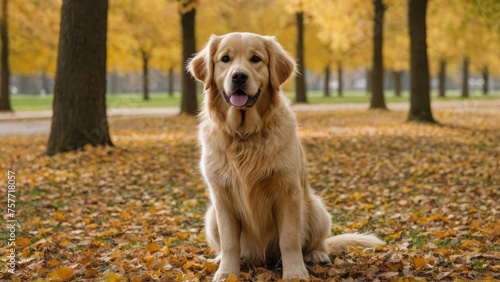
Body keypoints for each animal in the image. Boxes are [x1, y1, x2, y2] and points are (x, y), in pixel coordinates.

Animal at [188, 32, 382, 280]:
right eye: (225, 59)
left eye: (255, 58)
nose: (239, 76)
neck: (245, 134)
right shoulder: (222, 197)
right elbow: (230, 243)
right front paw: (227, 273)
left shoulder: (287, 192)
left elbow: (289, 240)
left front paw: (295, 273)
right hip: (211, 216)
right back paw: (222, 259)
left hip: (315, 208)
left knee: (317, 242)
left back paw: (316, 254)